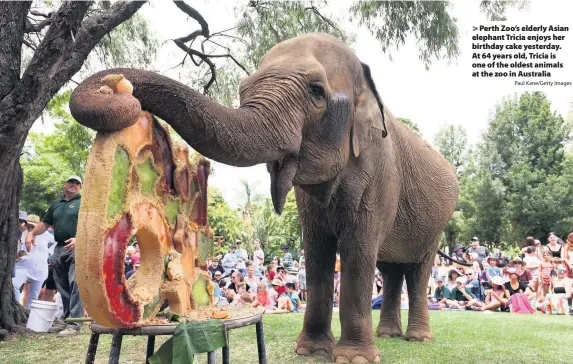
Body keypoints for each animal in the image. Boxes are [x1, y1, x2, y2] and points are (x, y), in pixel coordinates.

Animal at [70, 32, 456, 362]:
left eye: (317, 91)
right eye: (242, 89)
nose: (118, 88)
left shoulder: (378, 174)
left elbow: (358, 249)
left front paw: (354, 358)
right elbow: (316, 250)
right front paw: (311, 351)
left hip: (438, 224)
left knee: (417, 271)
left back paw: (417, 339)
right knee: (391, 271)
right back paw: (389, 335)